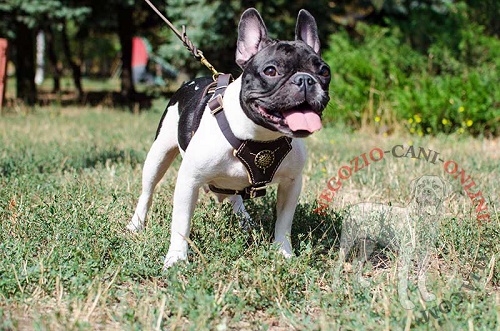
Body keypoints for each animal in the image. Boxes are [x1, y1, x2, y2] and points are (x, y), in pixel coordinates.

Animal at [127, 7, 330, 268]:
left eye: (324, 71)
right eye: (271, 71)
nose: (305, 79)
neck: (259, 135)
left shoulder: (292, 183)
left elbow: (284, 223)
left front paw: (283, 253)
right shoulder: (188, 180)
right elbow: (181, 223)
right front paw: (176, 258)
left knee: (236, 197)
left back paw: (245, 221)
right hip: (158, 155)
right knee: (147, 191)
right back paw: (136, 224)